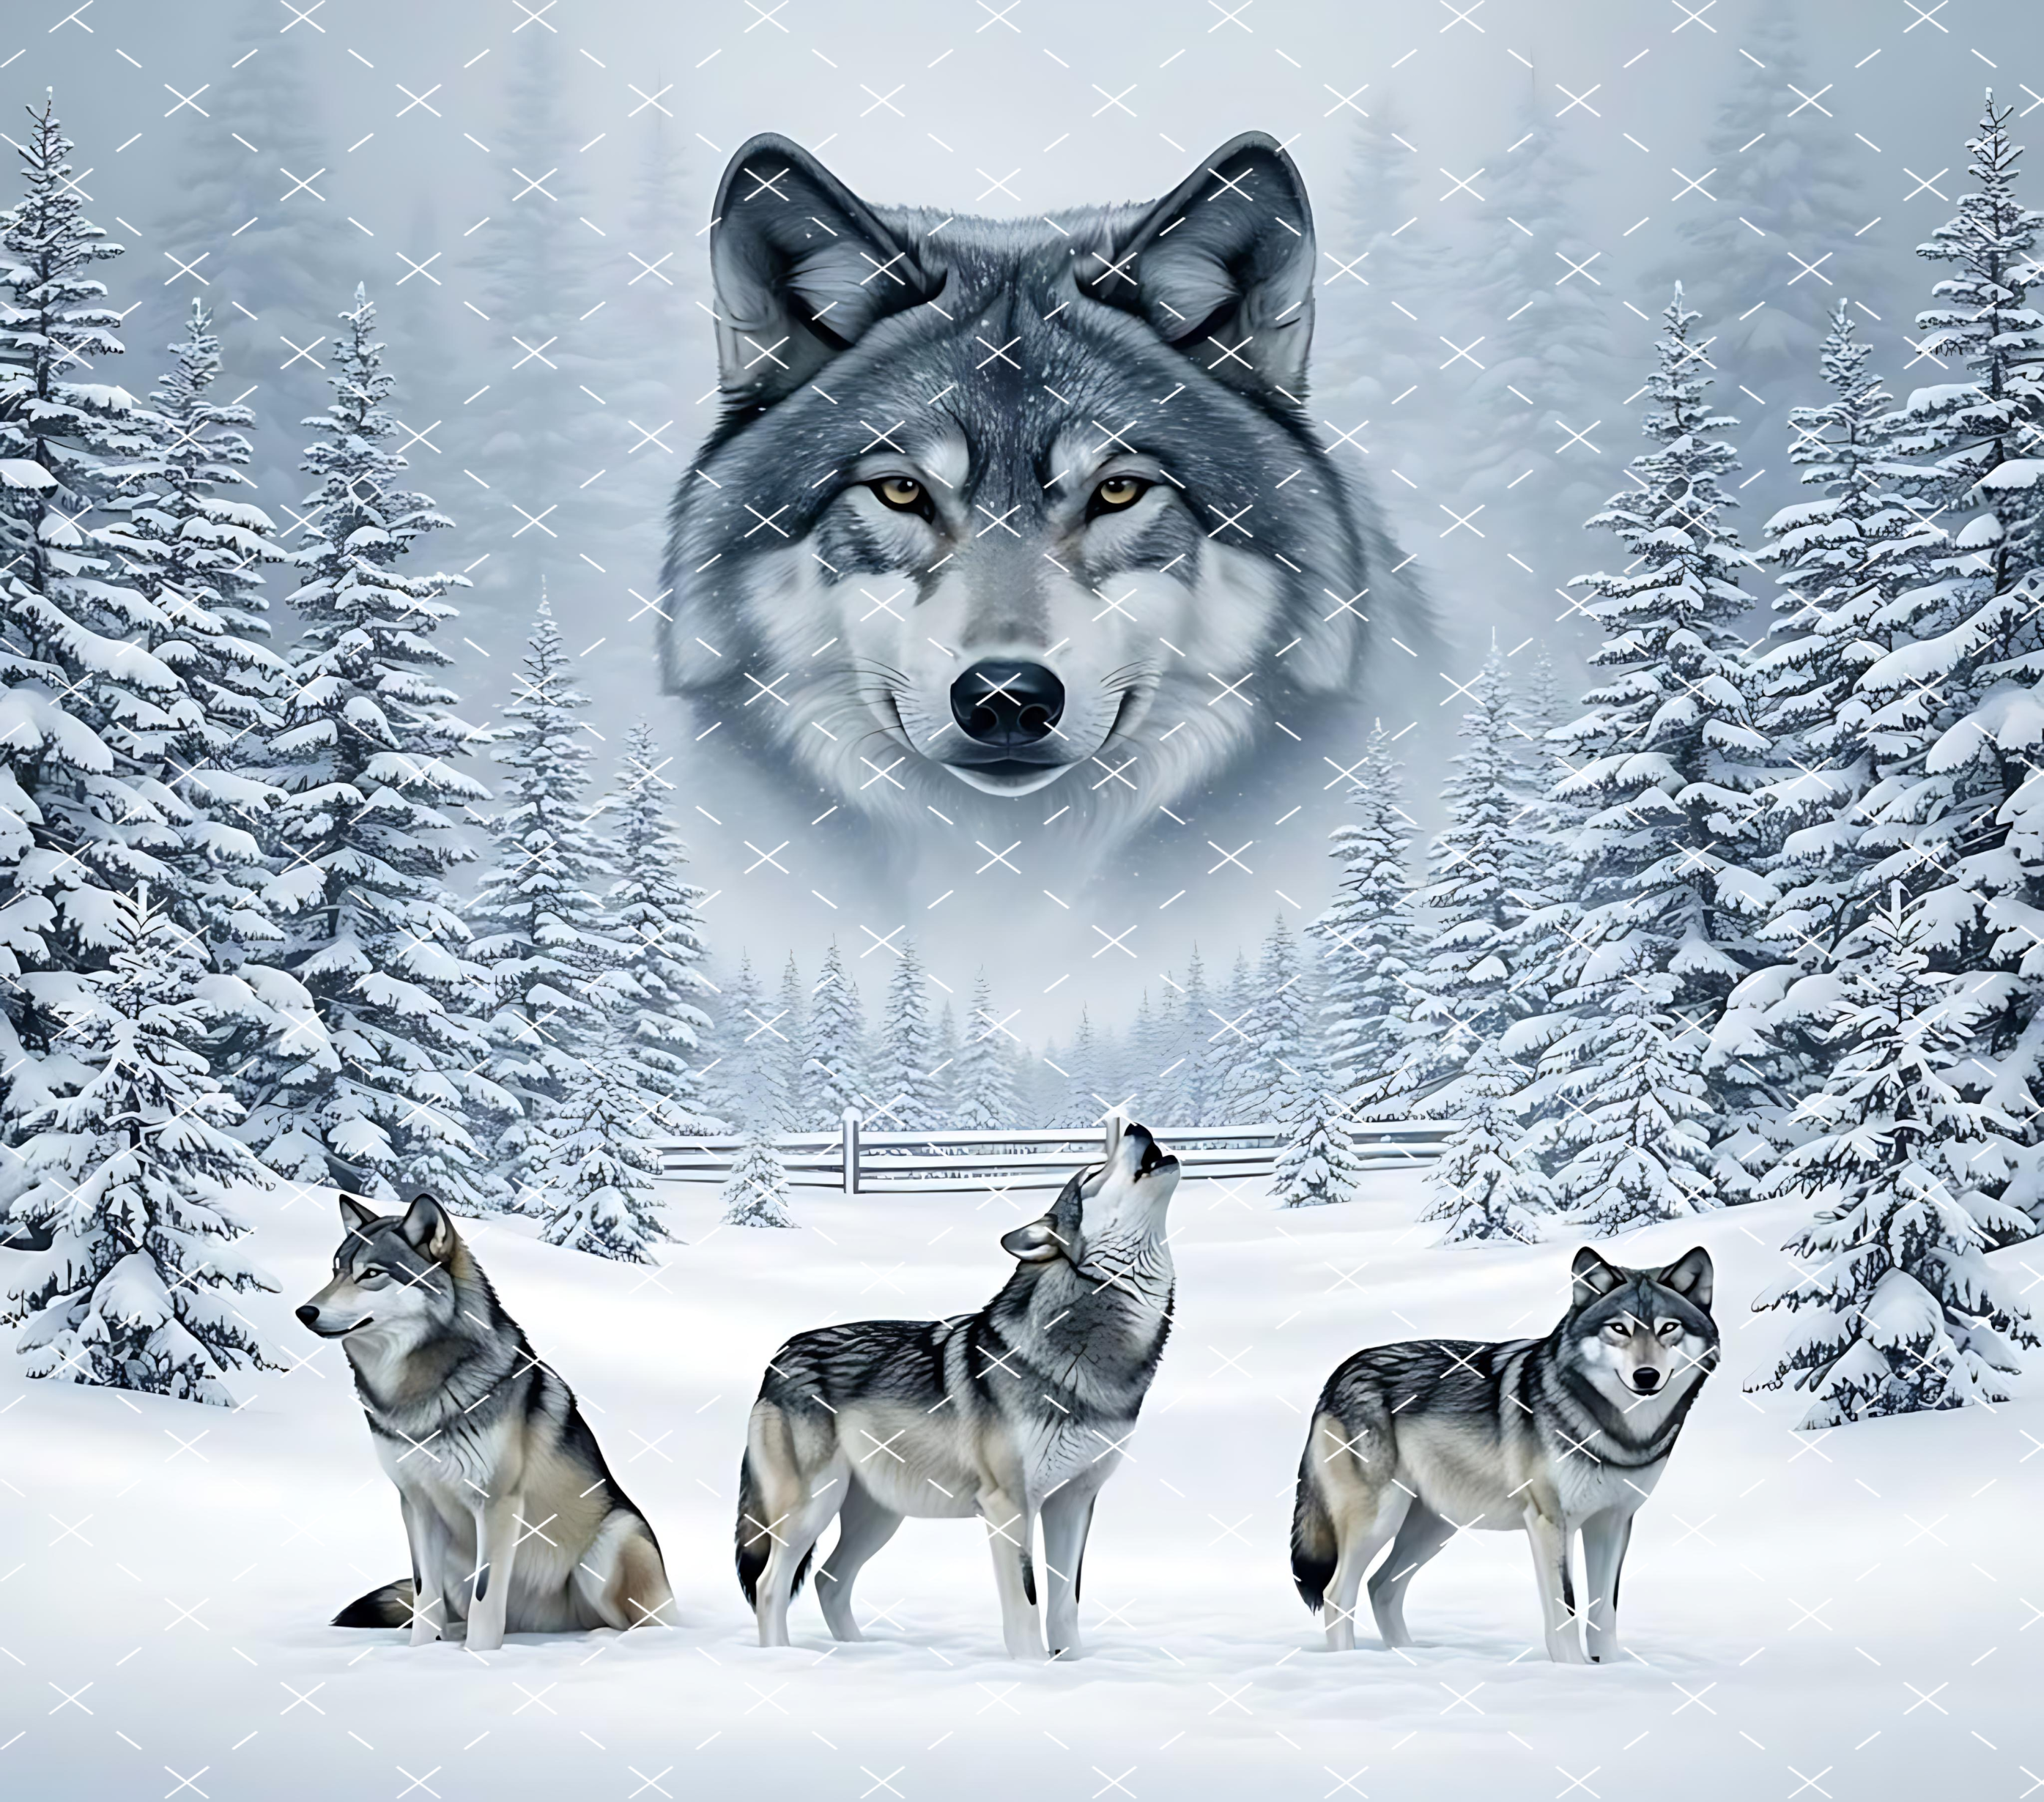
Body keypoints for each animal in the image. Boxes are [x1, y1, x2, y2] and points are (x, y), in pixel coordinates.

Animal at [298, 1194, 674, 1650]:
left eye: (371, 1274)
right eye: (336, 1270)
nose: (304, 1311)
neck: (418, 1392)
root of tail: (545, 1627)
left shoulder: (497, 1503)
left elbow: (485, 1598)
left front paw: (477, 1657)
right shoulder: (416, 1504)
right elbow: (424, 1597)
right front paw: (420, 1654)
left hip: (609, 1548)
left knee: (637, 1625)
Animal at [735, 1119, 1180, 1659]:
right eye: (1094, 1173)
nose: (1136, 1125)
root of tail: (776, 1359)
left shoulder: (1074, 1501)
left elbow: (1065, 1604)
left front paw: (1073, 1668)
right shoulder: (1009, 1506)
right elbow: (1027, 1606)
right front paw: (1033, 1671)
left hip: (878, 1515)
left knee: (828, 1580)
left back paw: (863, 1654)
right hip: (813, 1507)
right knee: (770, 1586)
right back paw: (783, 1659)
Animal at [1290, 1246, 1720, 1665]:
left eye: (1668, 1328)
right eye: (1619, 1328)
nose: (1646, 1376)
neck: (1620, 1432)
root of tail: (1339, 1374)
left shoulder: (1613, 1522)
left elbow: (1604, 1613)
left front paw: (1610, 1672)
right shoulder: (1551, 1522)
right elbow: (1566, 1612)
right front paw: (1574, 1674)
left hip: (1434, 1527)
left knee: (1381, 1586)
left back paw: (1413, 1658)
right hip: (1381, 1522)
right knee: (1337, 1593)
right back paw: (1350, 1665)